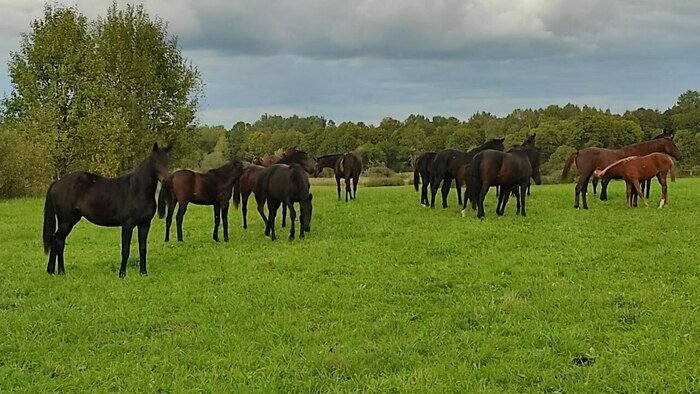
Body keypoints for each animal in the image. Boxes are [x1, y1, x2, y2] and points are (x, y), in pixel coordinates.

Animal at [42, 144, 171, 278]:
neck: (137, 190)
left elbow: (143, 248)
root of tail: (57, 183)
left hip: (69, 221)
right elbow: (125, 250)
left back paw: (54, 271)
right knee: (58, 241)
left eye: (168, 161)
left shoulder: (144, 224)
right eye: (155, 161)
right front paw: (122, 274)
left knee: (57, 241)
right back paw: (59, 271)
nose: (166, 179)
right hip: (66, 221)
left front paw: (143, 273)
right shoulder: (127, 225)